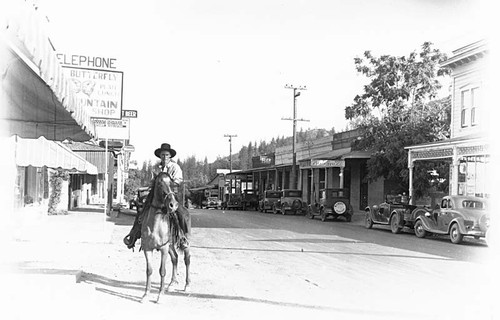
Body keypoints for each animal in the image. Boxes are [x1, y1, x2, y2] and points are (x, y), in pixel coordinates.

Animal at [140, 172, 190, 302]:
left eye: (171, 183)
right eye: (159, 183)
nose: (173, 205)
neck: (155, 226)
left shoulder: (163, 249)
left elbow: (162, 271)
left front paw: (160, 295)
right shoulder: (148, 248)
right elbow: (149, 270)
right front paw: (146, 294)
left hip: (184, 243)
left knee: (187, 259)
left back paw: (187, 285)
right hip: (170, 245)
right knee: (175, 258)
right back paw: (172, 283)